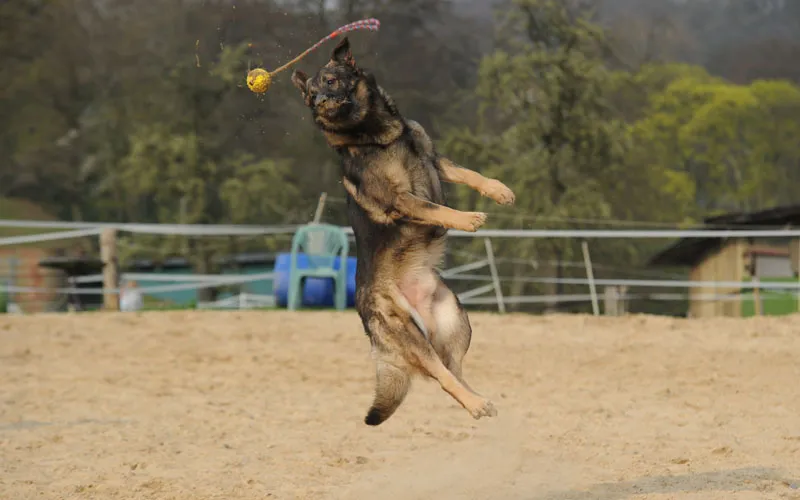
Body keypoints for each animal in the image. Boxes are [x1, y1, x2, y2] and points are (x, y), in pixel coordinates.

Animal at [290, 37, 516, 426]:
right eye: (311, 94)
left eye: (331, 81)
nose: (319, 103)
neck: (380, 136)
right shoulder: (400, 199)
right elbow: (435, 208)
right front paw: (467, 218)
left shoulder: (435, 161)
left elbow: (468, 174)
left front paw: (498, 190)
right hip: (410, 335)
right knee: (442, 376)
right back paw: (474, 404)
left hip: (457, 322)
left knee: (453, 369)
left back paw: (480, 401)